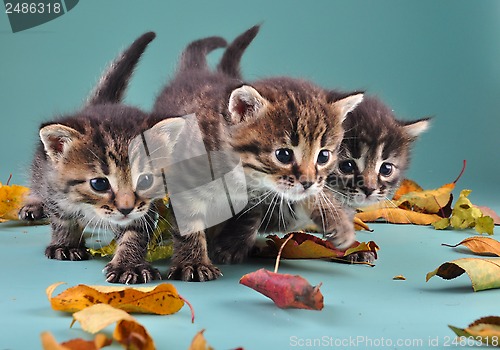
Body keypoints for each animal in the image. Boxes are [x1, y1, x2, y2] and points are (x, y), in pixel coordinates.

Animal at [20, 32, 186, 284]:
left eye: (146, 180)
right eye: (99, 183)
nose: (126, 208)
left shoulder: (144, 208)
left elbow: (135, 231)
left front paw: (129, 264)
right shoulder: (56, 189)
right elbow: (61, 217)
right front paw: (65, 243)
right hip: (43, 166)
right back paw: (33, 204)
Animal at [152, 28, 364, 284]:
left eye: (323, 156)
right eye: (283, 154)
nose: (307, 182)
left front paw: (338, 221)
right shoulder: (184, 181)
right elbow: (190, 222)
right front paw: (193, 262)